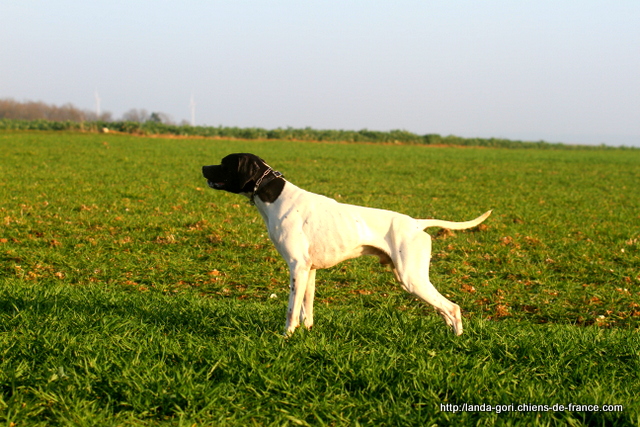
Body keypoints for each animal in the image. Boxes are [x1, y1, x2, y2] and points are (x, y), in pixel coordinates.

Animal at [202, 154, 492, 338]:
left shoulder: (296, 268)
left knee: (452, 308)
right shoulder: (309, 271)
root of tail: (417, 224)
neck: (275, 196)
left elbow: (291, 311)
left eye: (224, 162)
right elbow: (307, 310)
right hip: (410, 278)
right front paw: (307, 334)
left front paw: (286, 337)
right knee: (443, 309)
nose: (203, 167)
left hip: (412, 278)